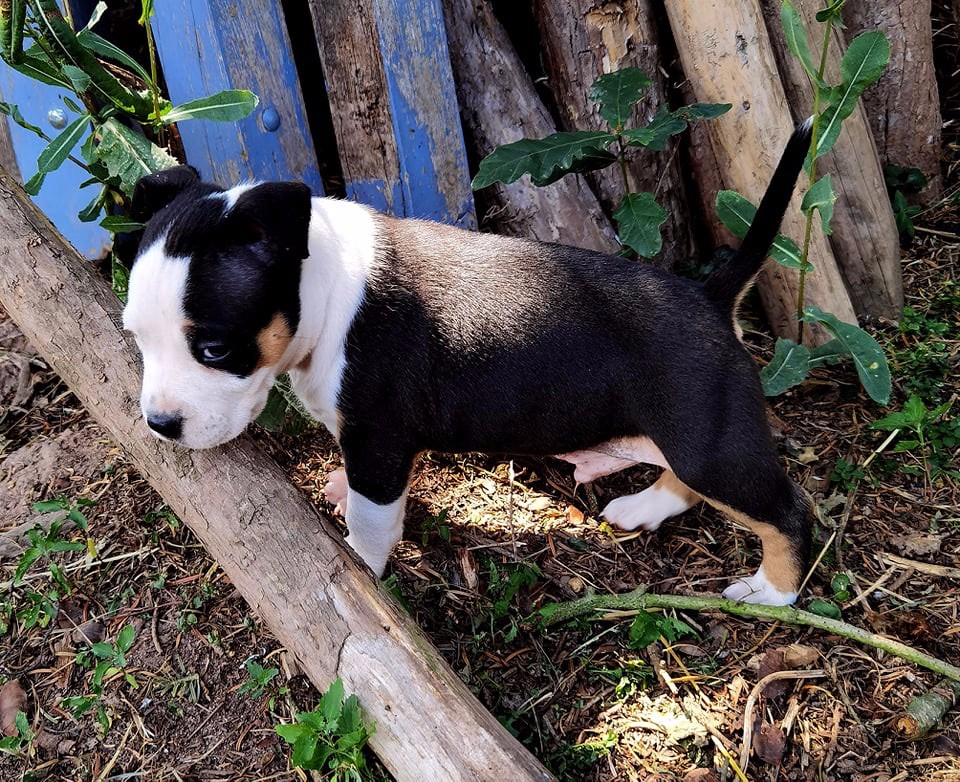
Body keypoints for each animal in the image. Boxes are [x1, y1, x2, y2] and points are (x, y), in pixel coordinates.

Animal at [124, 118, 816, 608]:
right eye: (136, 336)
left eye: (214, 350)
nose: (159, 425)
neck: (325, 289)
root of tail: (710, 296)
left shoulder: (378, 440)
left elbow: (371, 526)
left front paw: (360, 571)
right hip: (692, 438)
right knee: (687, 480)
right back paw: (642, 508)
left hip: (708, 440)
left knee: (787, 512)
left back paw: (773, 592)